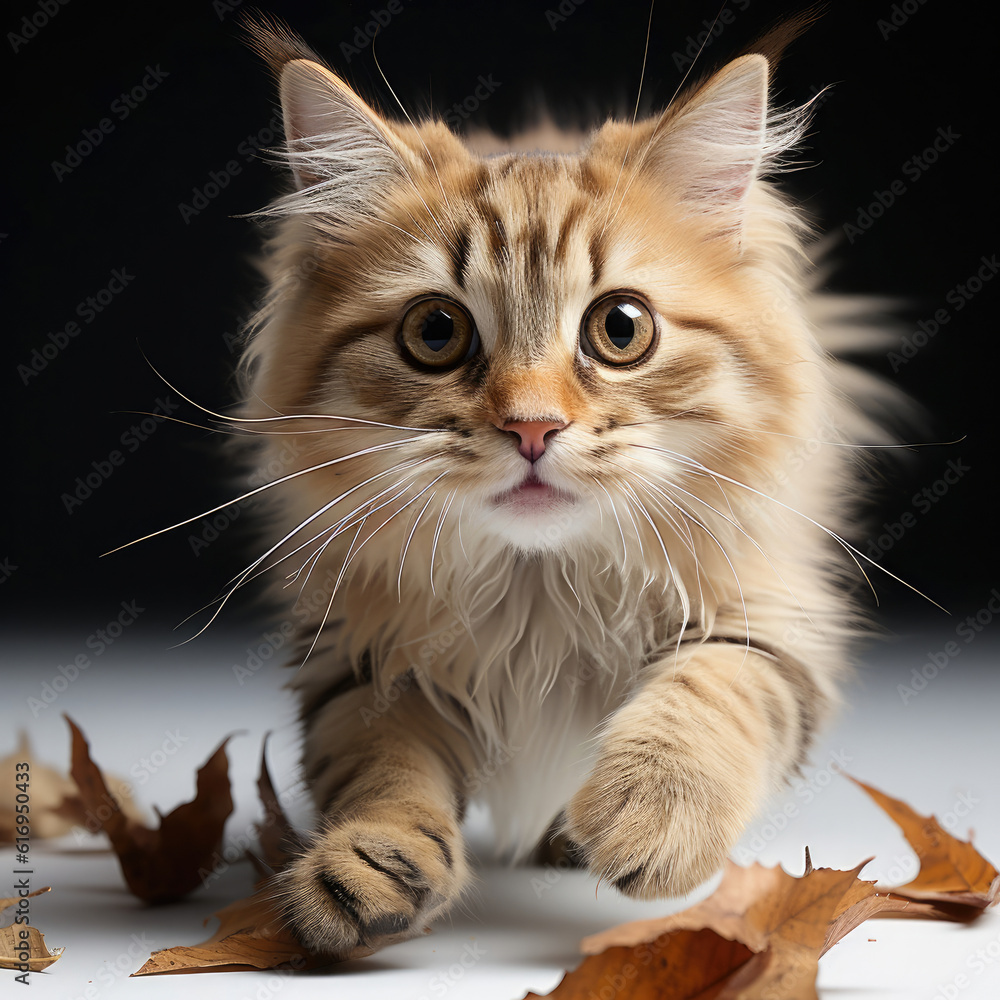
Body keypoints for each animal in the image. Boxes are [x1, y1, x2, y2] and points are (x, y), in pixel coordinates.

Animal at [236, 17, 892, 952]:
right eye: (435, 333)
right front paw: (369, 867)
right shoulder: (357, 655)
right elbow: (384, 769)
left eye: (621, 329)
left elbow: (708, 695)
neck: (539, 590)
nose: (532, 427)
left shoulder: (770, 618)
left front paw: (650, 816)